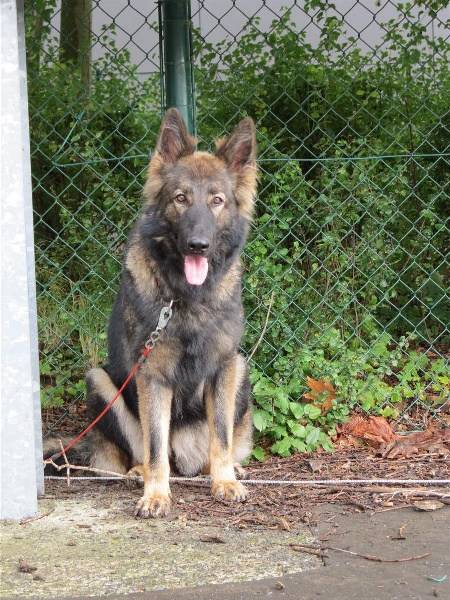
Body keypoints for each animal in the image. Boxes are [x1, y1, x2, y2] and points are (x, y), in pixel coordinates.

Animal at [46, 109, 258, 518]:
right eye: (181, 198)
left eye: (217, 201)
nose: (198, 245)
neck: (185, 297)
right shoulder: (152, 375)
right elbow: (156, 443)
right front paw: (156, 494)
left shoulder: (224, 365)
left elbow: (222, 436)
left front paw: (225, 481)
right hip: (101, 383)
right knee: (140, 451)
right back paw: (139, 473)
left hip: (241, 370)